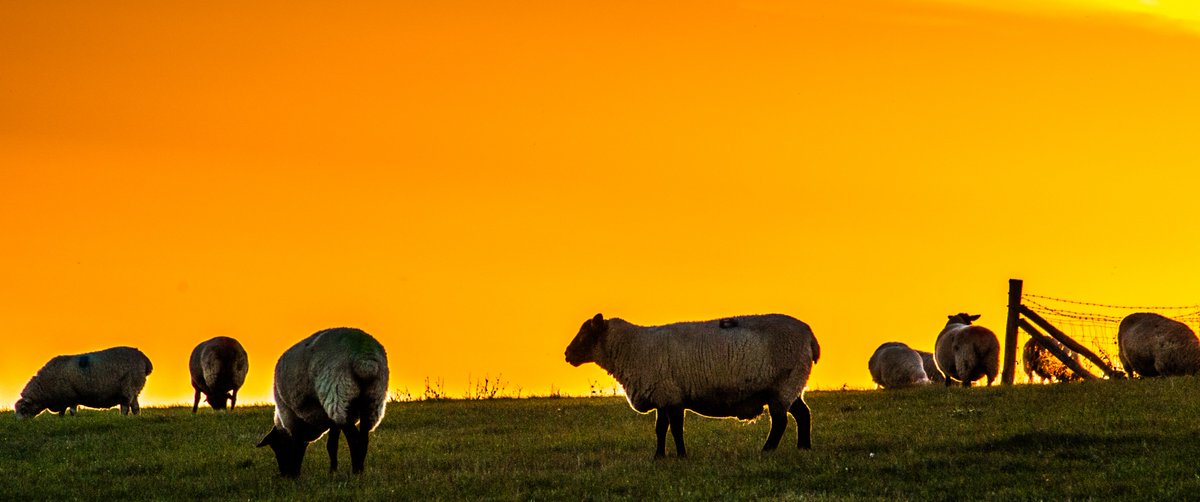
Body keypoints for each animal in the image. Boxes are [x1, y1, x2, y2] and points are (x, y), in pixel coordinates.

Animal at [14, 346, 153, 419]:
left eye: (23, 409)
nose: (20, 423)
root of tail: (144, 358)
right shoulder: (63, 398)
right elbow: (62, 412)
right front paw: (61, 419)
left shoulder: (70, 396)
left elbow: (71, 411)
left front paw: (71, 418)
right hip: (135, 388)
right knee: (135, 406)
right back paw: (136, 417)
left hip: (127, 387)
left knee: (125, 405)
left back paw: (122, 417)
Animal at [256, 327, 389, 477]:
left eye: (277, 446)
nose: (284, 473)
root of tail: (365, 358)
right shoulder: (331, 421)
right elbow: (331, 445)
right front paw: (333, 471)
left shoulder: (292, 419)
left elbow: (298, 446)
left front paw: (296, 473)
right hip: (373, 398)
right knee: (364, 436)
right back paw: (359, 469)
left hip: (337, 393)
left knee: (354, 437)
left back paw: (356, 470)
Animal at [564, 313, 820, 458]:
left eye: (585, 334)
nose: (567, 354)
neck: (632, 347)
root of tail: (809, 334)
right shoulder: (663, 395)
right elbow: (660, 428)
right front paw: (659, 456)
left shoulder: (671, 396)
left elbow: (676, 428)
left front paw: (681, 455)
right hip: (791, 386)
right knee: (803, 414)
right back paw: (804, 448)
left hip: (783, 384)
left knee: (780, 421)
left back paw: (767, 451)